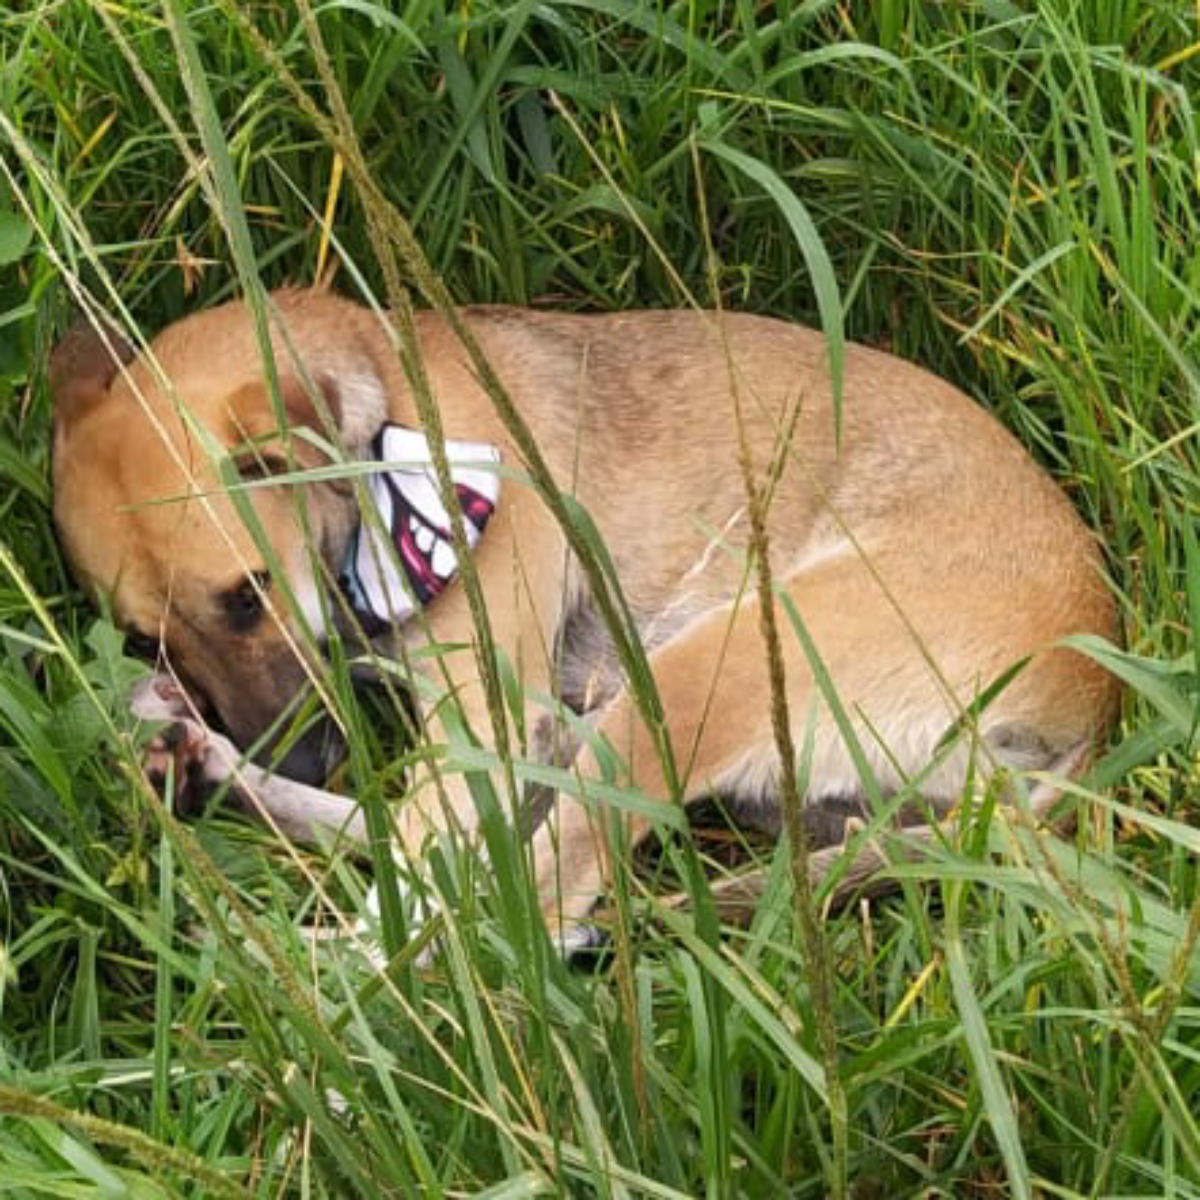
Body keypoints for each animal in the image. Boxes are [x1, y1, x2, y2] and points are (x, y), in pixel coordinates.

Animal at [44, 290, 1113, 945]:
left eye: (246, 592)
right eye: (143, 636)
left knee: (518, 899)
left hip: (692, 680)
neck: (382, 420)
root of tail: (1094, 703)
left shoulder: (481, 715)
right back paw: (213, 770)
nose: (307, 757)